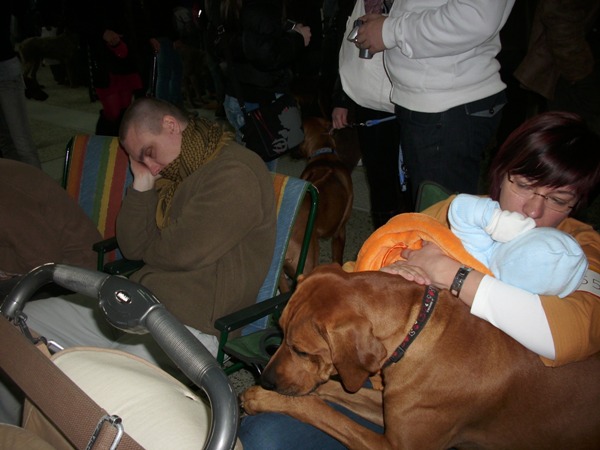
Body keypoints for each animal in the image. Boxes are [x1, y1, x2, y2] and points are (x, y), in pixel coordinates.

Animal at [242, 264, 600, 449]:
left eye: (301, 350)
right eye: (280, 331)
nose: (266, 379)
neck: (417, 330)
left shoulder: (393, 447)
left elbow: (325, 413)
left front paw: (265, 398)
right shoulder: (388, 406)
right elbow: (331, 391)